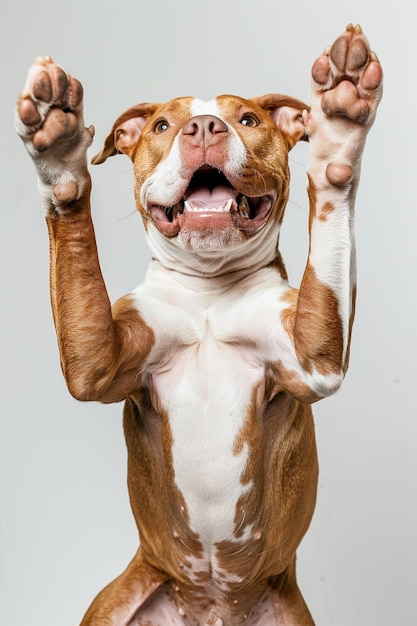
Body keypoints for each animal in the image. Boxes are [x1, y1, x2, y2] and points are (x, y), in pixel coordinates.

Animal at [14, 24, 382, 624]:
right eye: (162, 126)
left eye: (248, 120)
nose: (205, 126)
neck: (210, 292)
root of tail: (211, 608)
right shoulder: (98, 363)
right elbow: (73, 231)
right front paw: (58, 149)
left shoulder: (313, 360)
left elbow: (331, 197)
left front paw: (341, 129)